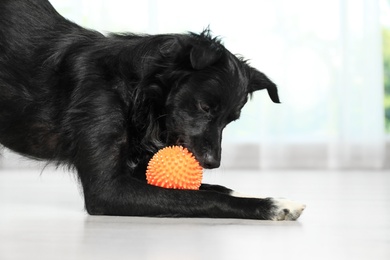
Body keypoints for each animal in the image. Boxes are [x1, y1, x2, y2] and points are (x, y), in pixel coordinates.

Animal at [0, 0, 304, 220]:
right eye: (205, 107)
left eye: (231, 120)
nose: (213, 163)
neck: (136, 87)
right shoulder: (108, 189)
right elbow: (205, 197)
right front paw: (271, 206)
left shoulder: (136, 172)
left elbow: (216, 189)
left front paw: (260, 195)